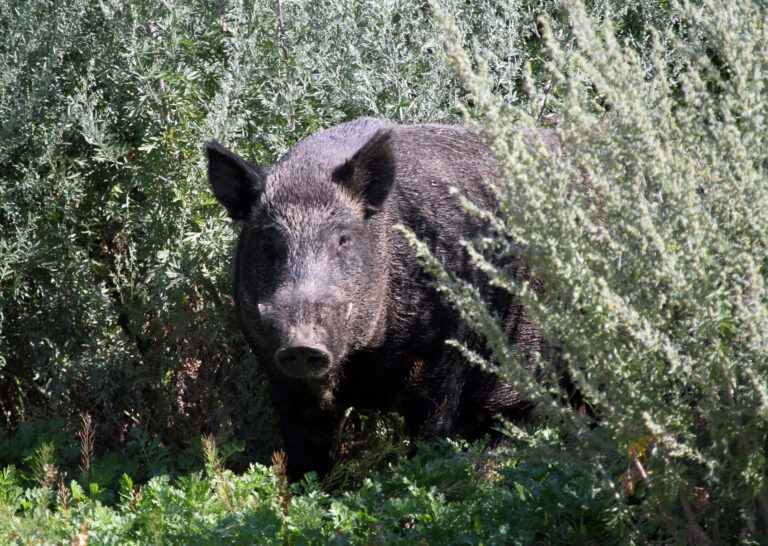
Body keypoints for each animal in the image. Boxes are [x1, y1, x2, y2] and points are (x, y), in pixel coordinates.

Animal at [207, 118, 547, 480]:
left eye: (342, 239)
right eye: (268, 241)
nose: (302, 343)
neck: (359, 364)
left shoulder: (443, 353)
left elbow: (431, 436)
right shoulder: (276, 369)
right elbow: (306, 453)